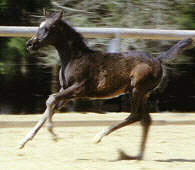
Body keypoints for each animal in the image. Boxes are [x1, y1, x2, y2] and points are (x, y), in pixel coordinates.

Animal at [19, 9, 193, 160]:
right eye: (39, 26)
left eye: (48, 28)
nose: (29, 44)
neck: (75, 58)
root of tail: (158, 59)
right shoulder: (66, 91)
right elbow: (49, 108)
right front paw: (23, 141)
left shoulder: (78, 88)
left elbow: (51, 99)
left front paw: (54, 135)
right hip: (142, 93)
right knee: (146, 120)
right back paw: (137, 155)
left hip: (137, 90)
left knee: (135, 116)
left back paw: (99, 136)